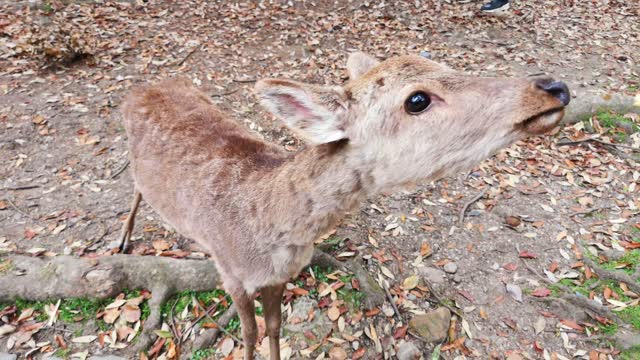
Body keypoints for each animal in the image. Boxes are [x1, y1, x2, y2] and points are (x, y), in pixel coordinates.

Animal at [119, 52, 568, 358]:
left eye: (444, 63)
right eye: (417, 100)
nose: (552, 88)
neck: (269, 229)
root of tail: (142, 87)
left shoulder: (280, 276)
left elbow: (275, 326)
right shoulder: (229, 273)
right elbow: (249, 333)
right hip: (135, 164)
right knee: (135, 189)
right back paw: (123, 240)